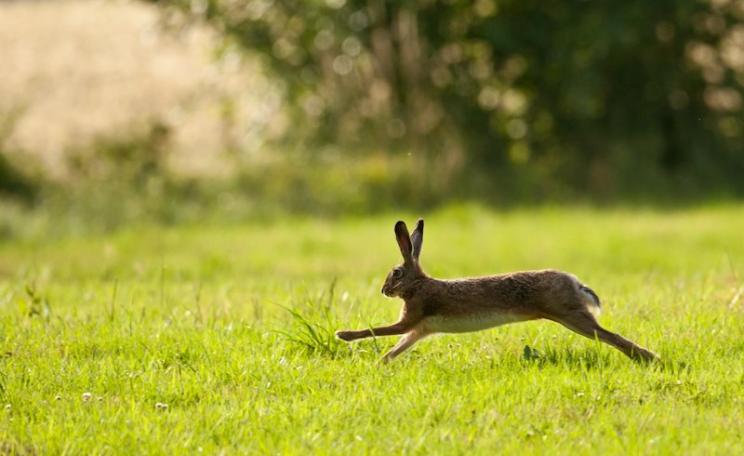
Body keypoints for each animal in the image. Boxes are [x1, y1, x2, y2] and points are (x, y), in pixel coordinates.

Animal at [336, 219, 659, 363]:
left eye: (396, 273)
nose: (383, 290)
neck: (418, 285)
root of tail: (575, 282)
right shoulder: (419, 329)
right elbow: (397, 347)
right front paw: (379, 364)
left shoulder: (411, 319)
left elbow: (377, 330)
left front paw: (343, 335)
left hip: (570, 316)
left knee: (611, 336)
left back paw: (648, 358)